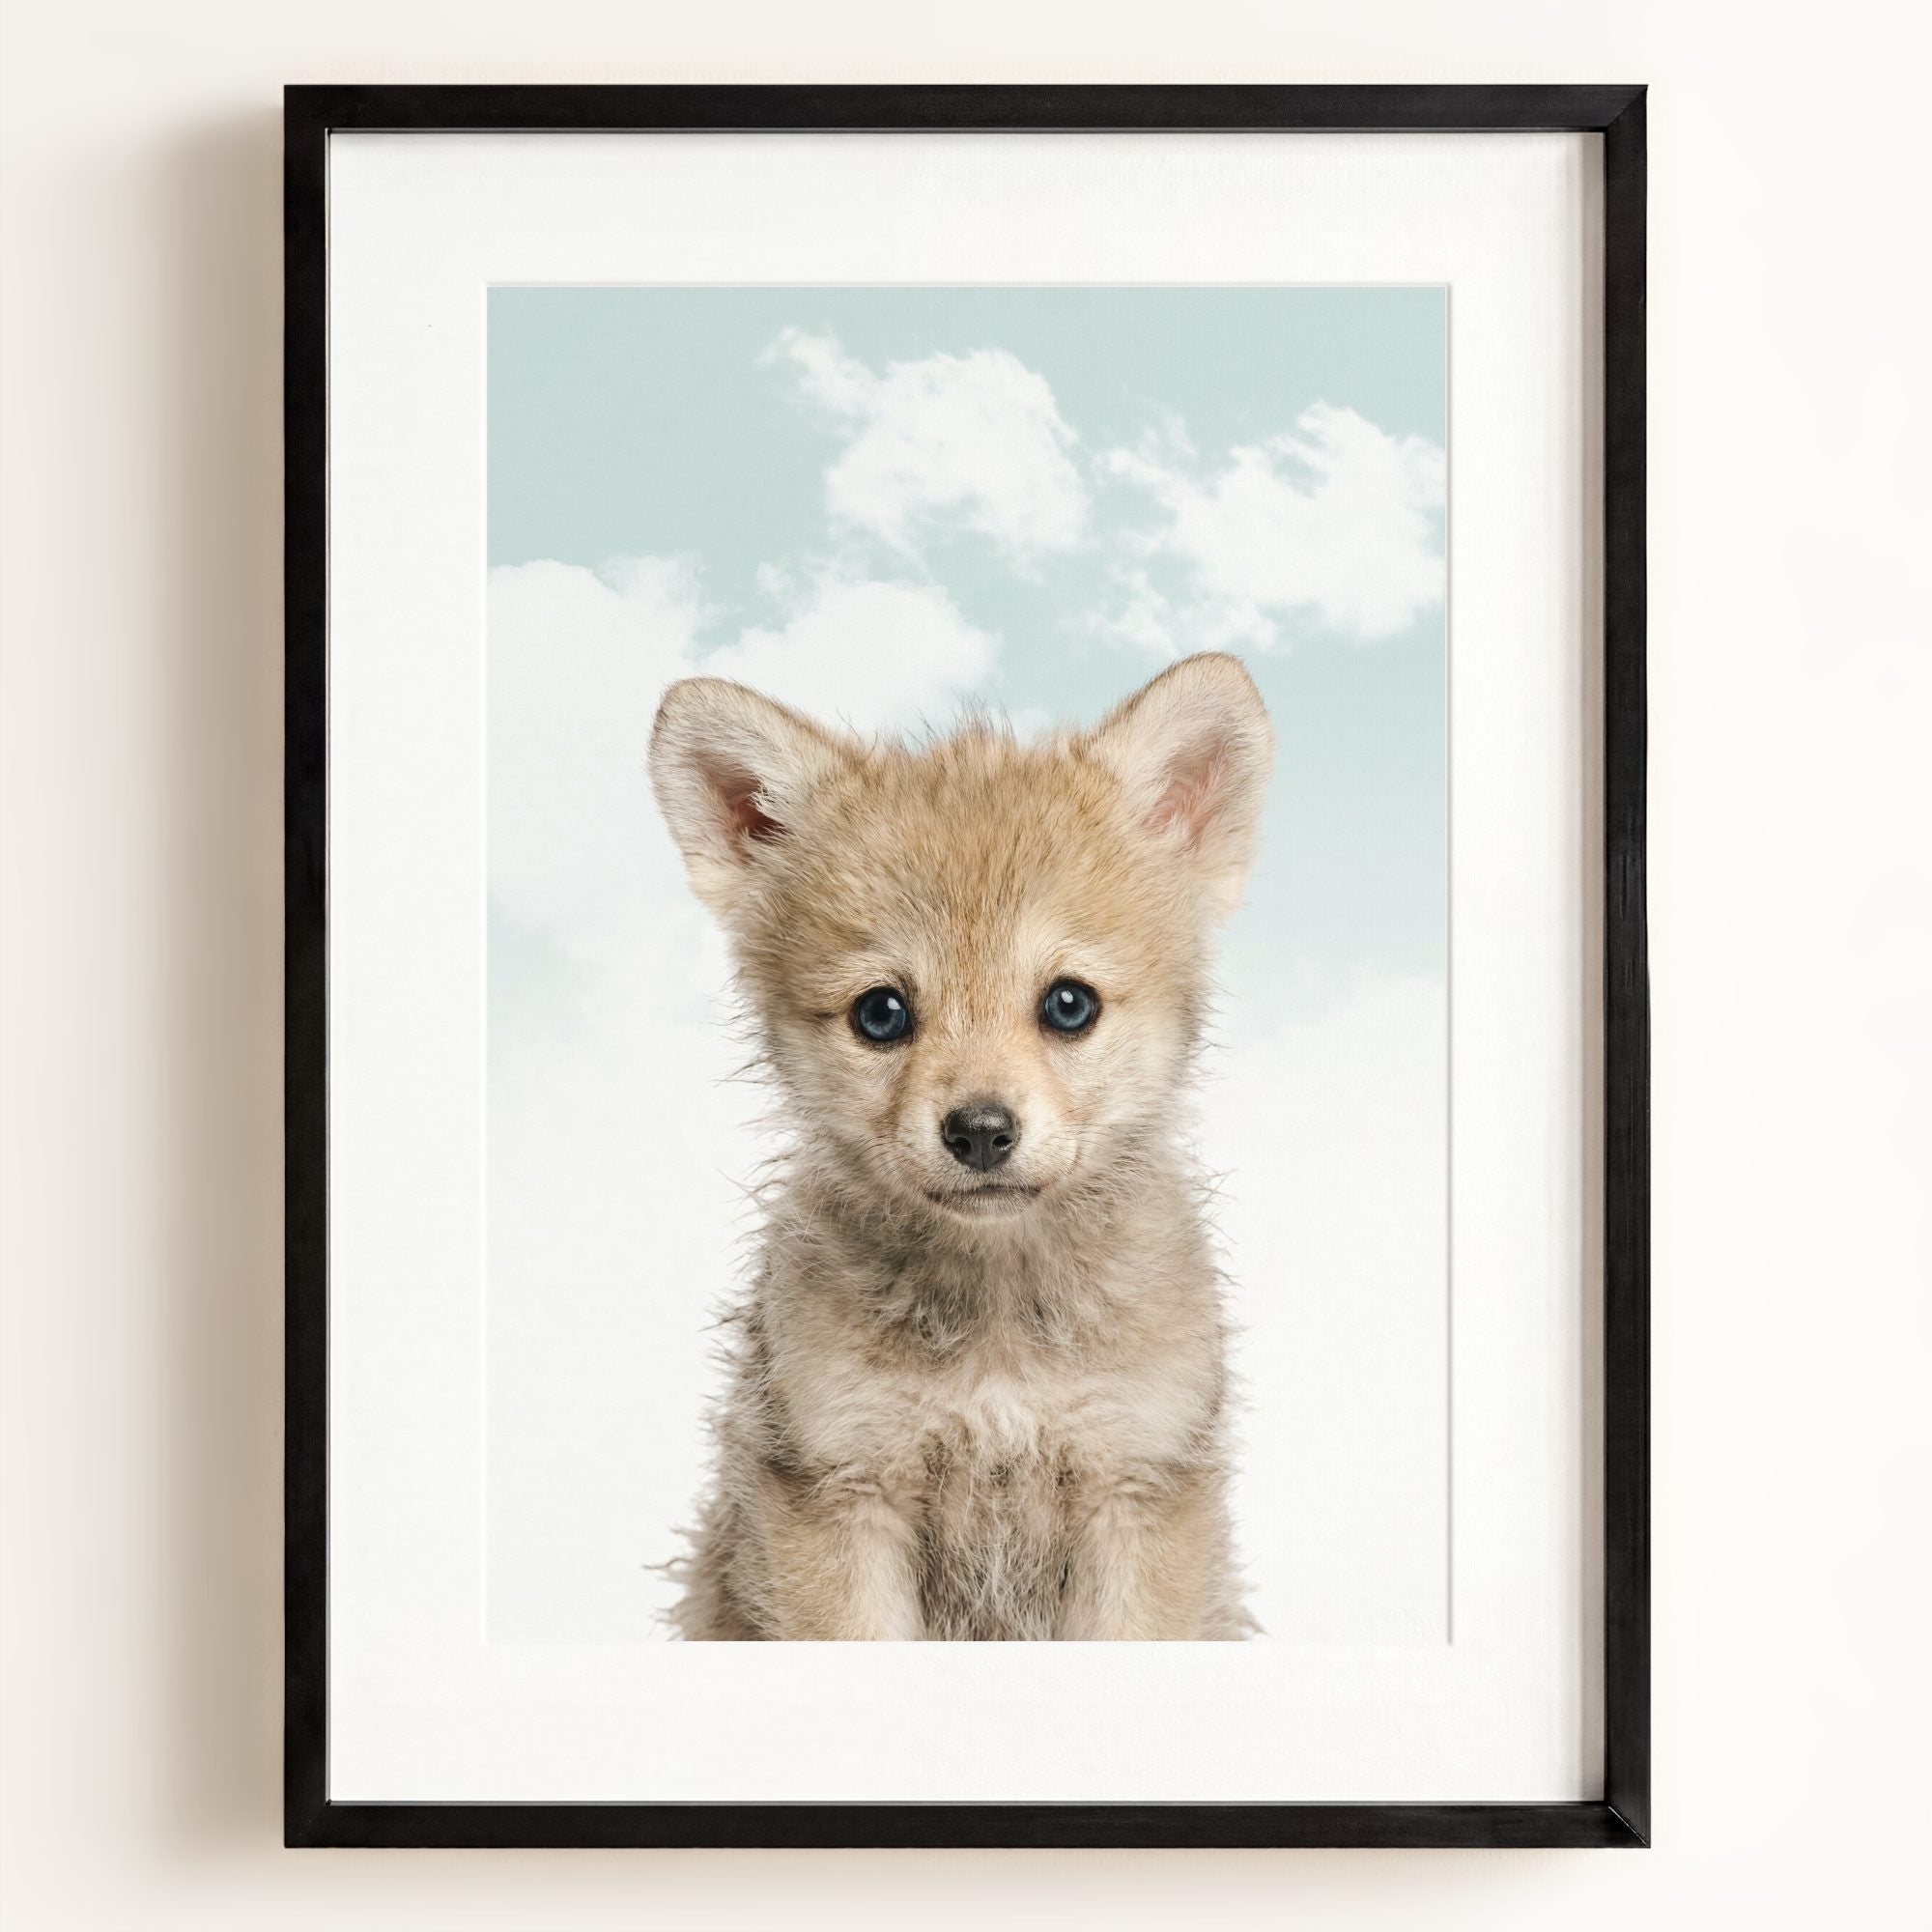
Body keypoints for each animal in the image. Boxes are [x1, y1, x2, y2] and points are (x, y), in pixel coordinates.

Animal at [647, 652, 1273, 1639]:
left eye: (1069, 1003)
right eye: (880, 1013)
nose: (980, 1131)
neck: (998, 1333)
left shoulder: (1136, 1488)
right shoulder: (840, 1491)